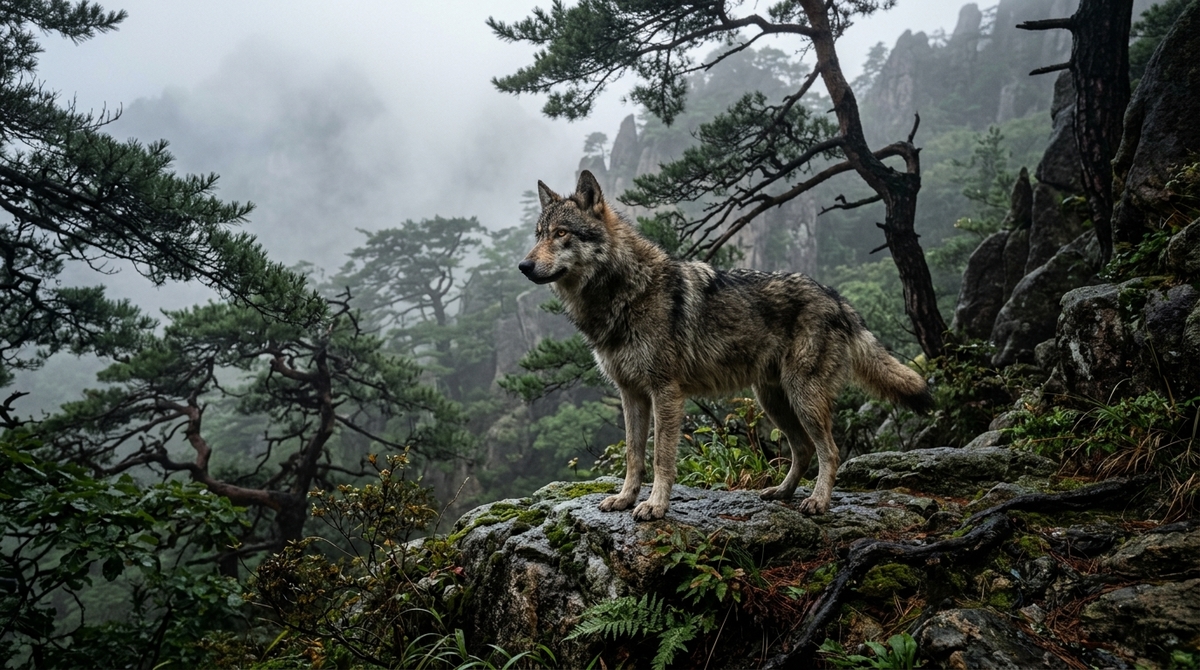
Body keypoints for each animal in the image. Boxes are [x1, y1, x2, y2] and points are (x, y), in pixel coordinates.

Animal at [518, 170, 933, 521]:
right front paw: (624, 498)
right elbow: (634, 455)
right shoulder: (631, 394)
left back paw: (817, 502)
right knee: (802, 449)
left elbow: (661, 457)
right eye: (538, 235)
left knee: (829, 451)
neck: (624, 292)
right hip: (773, 401)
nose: (523, 266)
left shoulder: (665, 392)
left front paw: (655, 506)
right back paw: (781, 493)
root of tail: (837, 298)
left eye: (561, 233)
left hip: (803, 397)